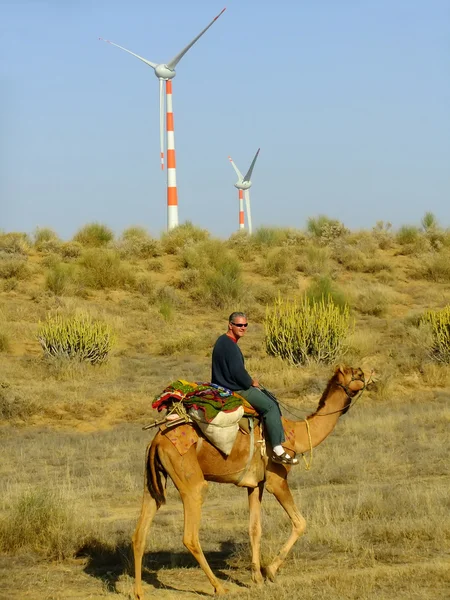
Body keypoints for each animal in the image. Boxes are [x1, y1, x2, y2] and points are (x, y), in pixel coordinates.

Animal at [131, 364, 370, 596]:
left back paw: (139, 592)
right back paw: (219, 588)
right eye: (357, 373)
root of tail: (156, 441)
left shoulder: (255, 484)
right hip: (191, 481)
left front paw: (257, 578)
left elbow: (255, 528)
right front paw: (270, 571)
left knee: (140, 533)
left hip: (153, 482)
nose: (372, 375)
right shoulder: (276, 480)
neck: (297, 435)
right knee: (190, 535)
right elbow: (300, 522)